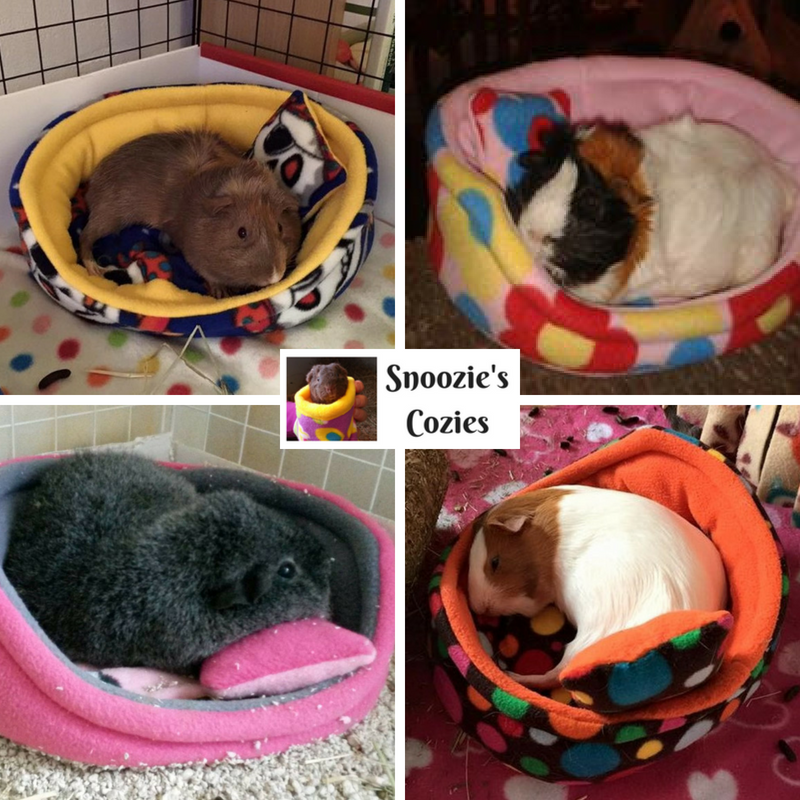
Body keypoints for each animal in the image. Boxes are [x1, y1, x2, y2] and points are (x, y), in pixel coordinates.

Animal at [78, 129, 302, 298]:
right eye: (242, 232)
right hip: (108, 216)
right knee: (85, 238)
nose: (275, 276)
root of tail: (93, 183)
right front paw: (220, 293)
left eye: (280, 227)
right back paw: (95, 270)